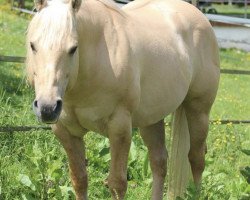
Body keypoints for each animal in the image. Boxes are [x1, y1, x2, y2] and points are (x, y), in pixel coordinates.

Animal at [26, 0, 220, 199]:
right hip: (152, 120)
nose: (47, 108)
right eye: (33, 45)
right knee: (159, 162)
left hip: (198, 111)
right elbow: (79, 180)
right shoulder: (67, 133)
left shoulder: (119, 129)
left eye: (73, 48)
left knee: (196, 159)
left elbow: (117, 184)